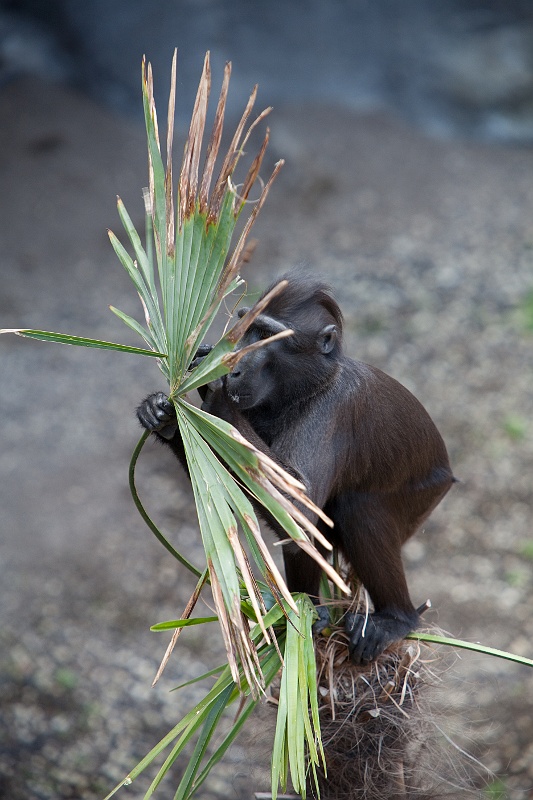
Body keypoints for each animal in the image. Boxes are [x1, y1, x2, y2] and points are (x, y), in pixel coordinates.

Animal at [137, 272, 454, 663]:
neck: (307, 386)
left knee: (357, 509)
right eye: (248, 328)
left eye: (268, 336)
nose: (235, 364)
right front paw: (162, 414)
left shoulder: (333, 407)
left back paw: (393, 619)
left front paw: (217, 390)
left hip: (422, 499)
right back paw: (309, 613)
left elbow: (299, 504)